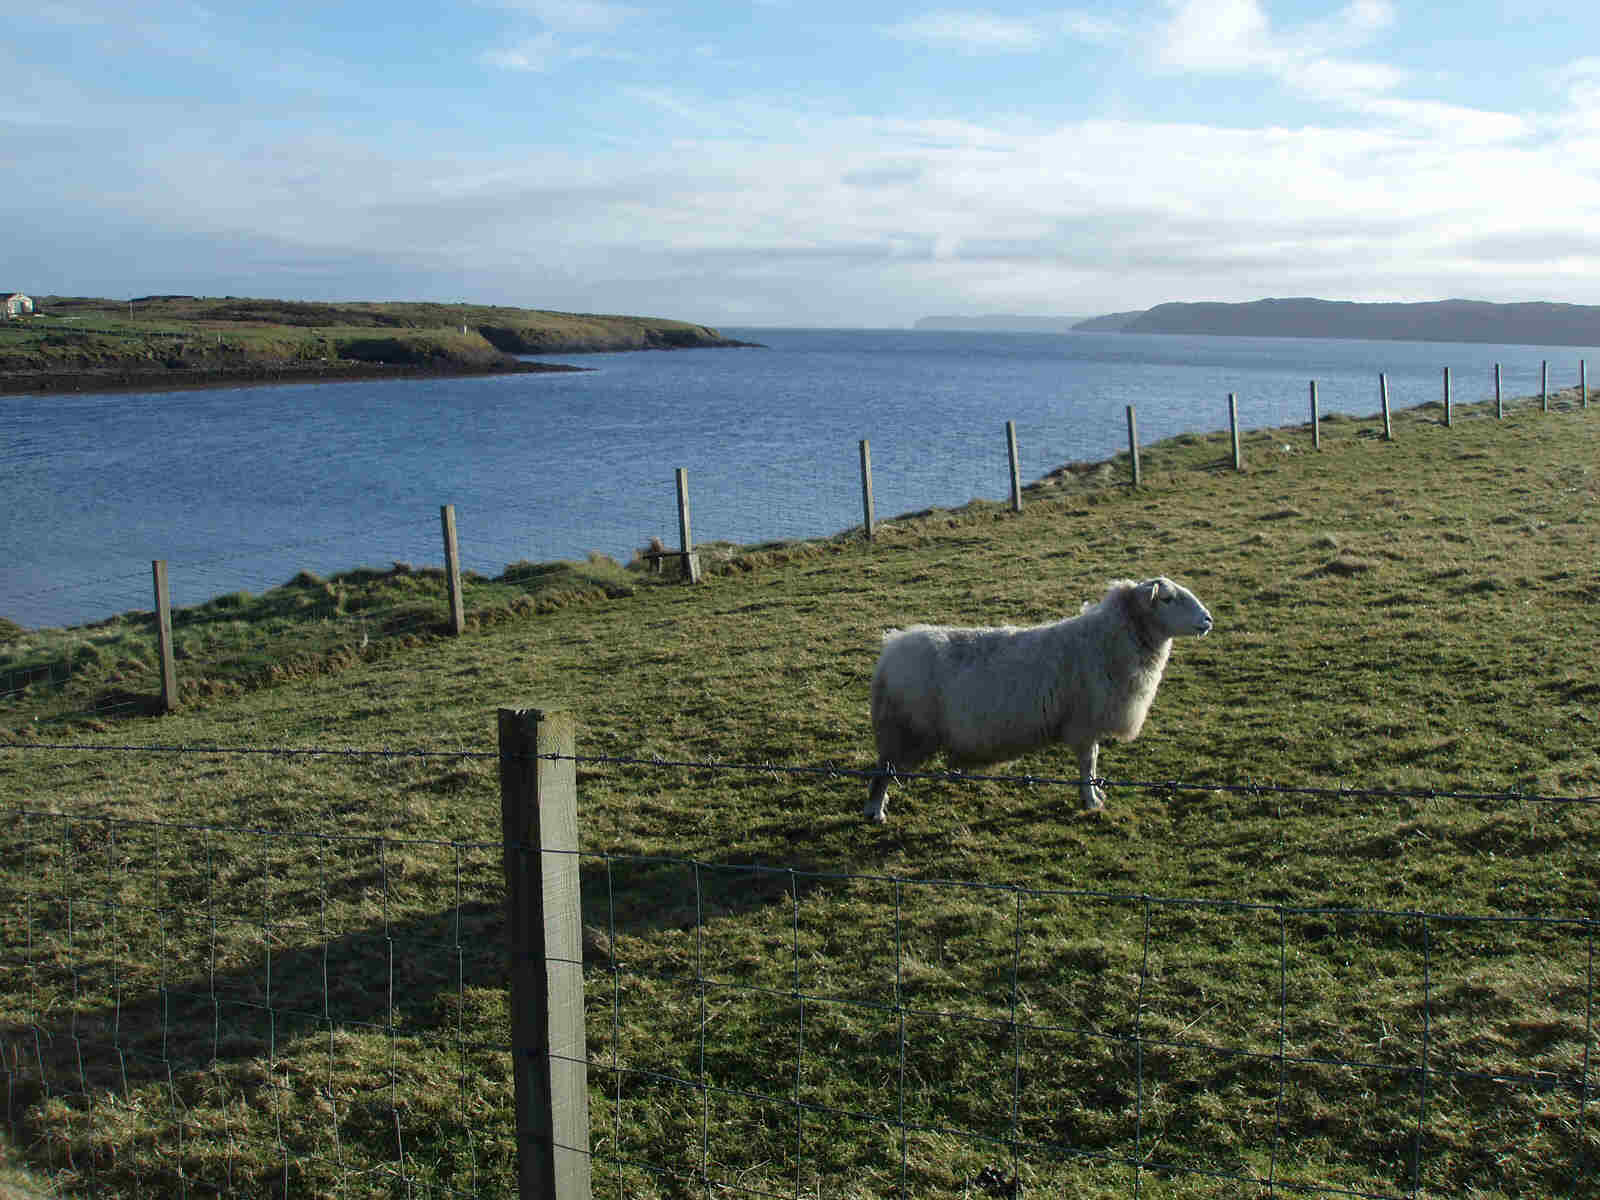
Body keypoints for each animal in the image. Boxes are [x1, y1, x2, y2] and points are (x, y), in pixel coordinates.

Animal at [864, 576, 1212, 823]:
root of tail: (891, 648)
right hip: (903, 729)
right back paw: (875, 811)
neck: (1109, 640)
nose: (1208, 619)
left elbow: (1093, 761)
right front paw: (1090, 801)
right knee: (882, 772)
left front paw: (1095, 797)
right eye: (1167, 599)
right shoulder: (1083, 723)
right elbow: (1088, 763)